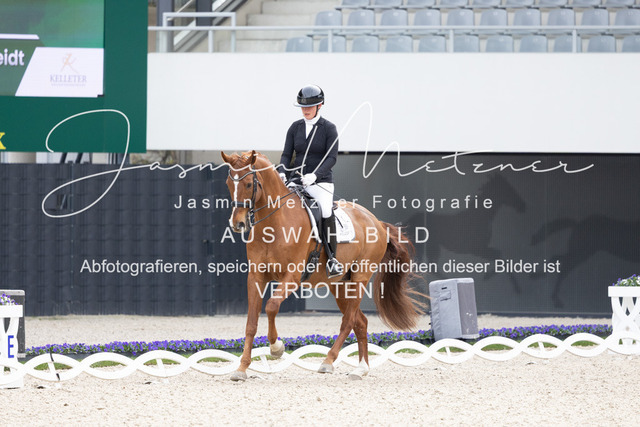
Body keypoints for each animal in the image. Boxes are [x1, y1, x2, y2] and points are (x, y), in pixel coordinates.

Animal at [221, 150, 425, 381]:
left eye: (248, 184)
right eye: (228, 183)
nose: (237, 224)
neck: (274, 223)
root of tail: (376, 222)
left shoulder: (292, 277)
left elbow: (271, 306)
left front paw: (276, 348)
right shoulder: (256, 278)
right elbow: (251, 323)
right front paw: (241, 368)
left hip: (360, 279)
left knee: (348, 321)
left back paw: (328, 362)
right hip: (339, 286)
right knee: (360, 322)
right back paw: (361, 368)